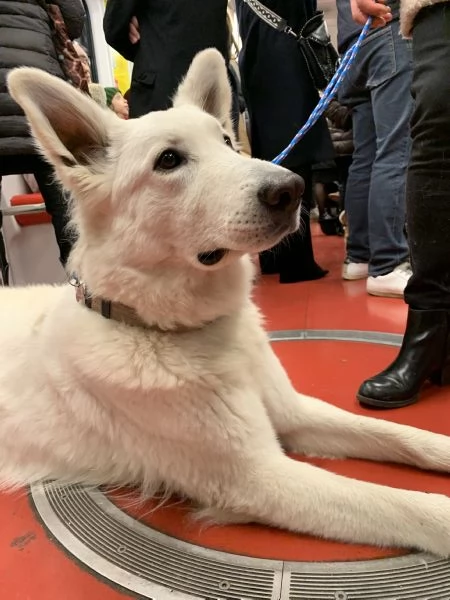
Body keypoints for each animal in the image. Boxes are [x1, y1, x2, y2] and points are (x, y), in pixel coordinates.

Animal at [2, 49, 450, 556]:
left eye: (228, 143)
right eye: (169, 160)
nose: (292, 189)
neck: (174, 329)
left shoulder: (294, 413)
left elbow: (401, 435)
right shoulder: (256, 477)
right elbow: (401, 503)